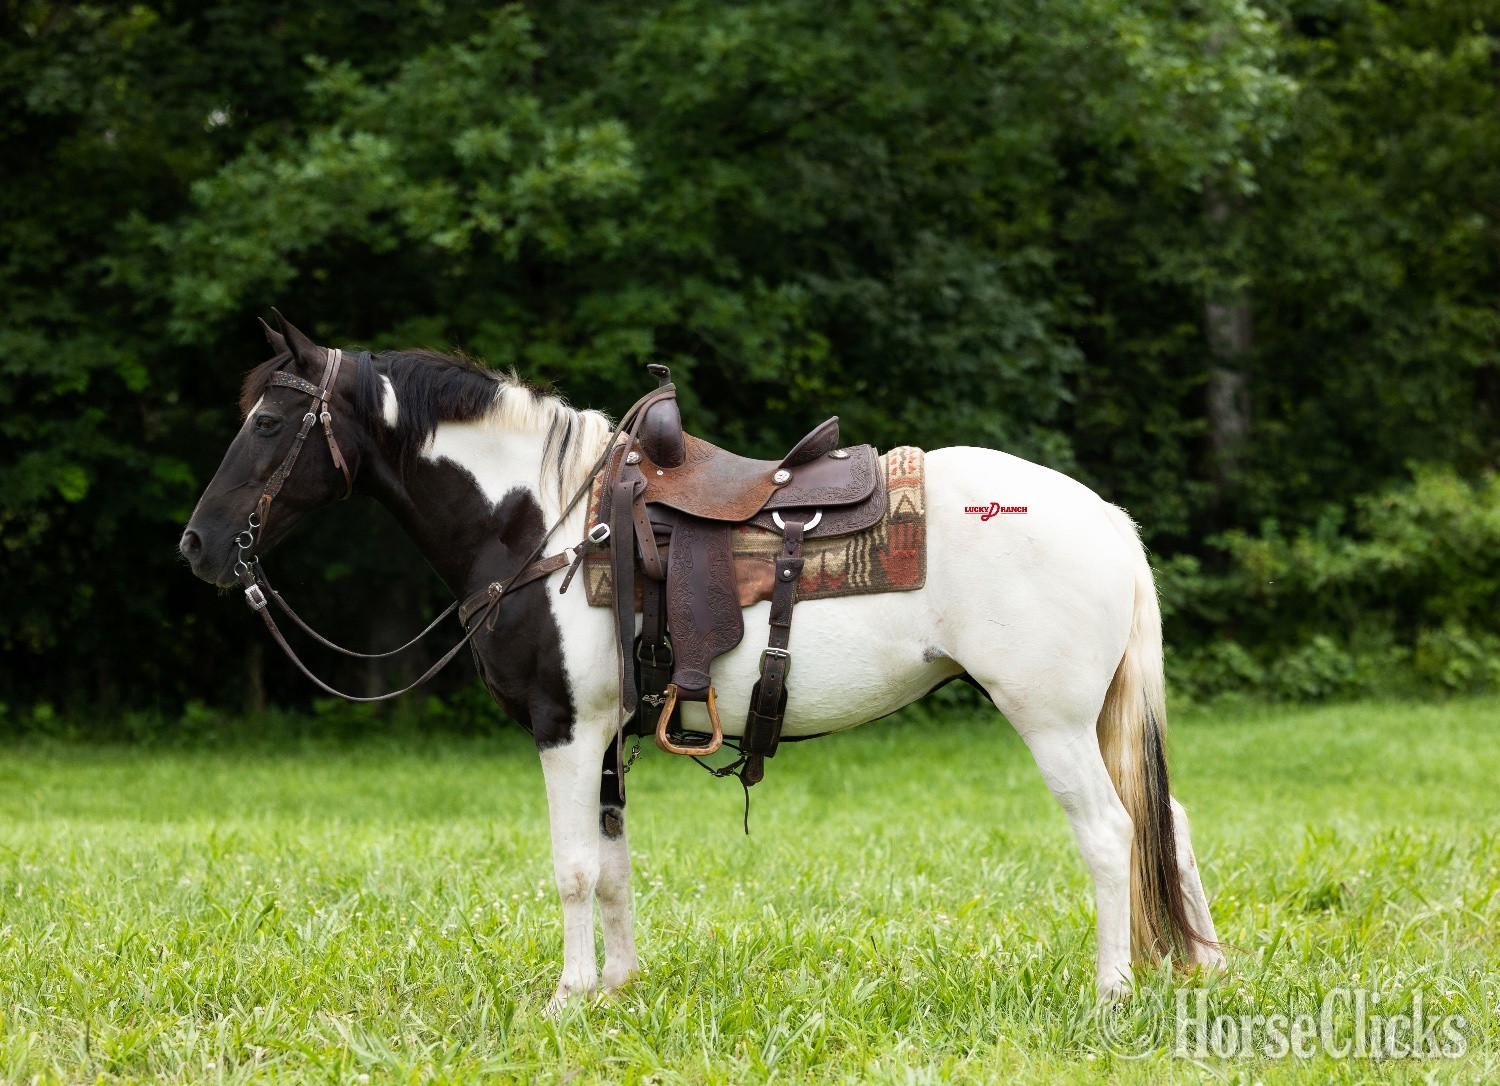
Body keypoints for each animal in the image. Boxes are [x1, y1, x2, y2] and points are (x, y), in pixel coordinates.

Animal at [179, 316, 1225, 1006]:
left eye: (267, 424)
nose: (198, 545)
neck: (543, 522)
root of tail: (1104, 516)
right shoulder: (604, 736)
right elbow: (612, 864)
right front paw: (615, 987)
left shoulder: (564, 728)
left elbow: (571, 867)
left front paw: (565, 999)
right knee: (1165, 822)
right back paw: (1203, 967)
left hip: (1050, 720)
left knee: (1111, 833)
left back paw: (1111, 991)